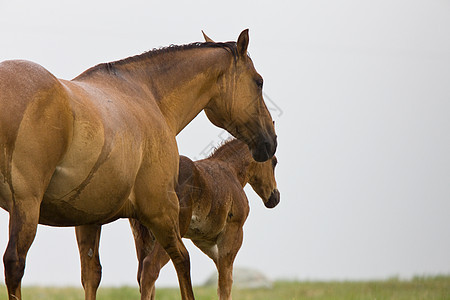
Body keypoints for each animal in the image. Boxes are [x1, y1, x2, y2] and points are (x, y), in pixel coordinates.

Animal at [79, 139, 280, 300]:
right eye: (274, 162)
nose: (274, 198)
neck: (230, 171)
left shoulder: (204, 241)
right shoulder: (233, 233)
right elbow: (225, 282)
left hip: (144, 238)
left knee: (141, 273)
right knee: (150, 268)